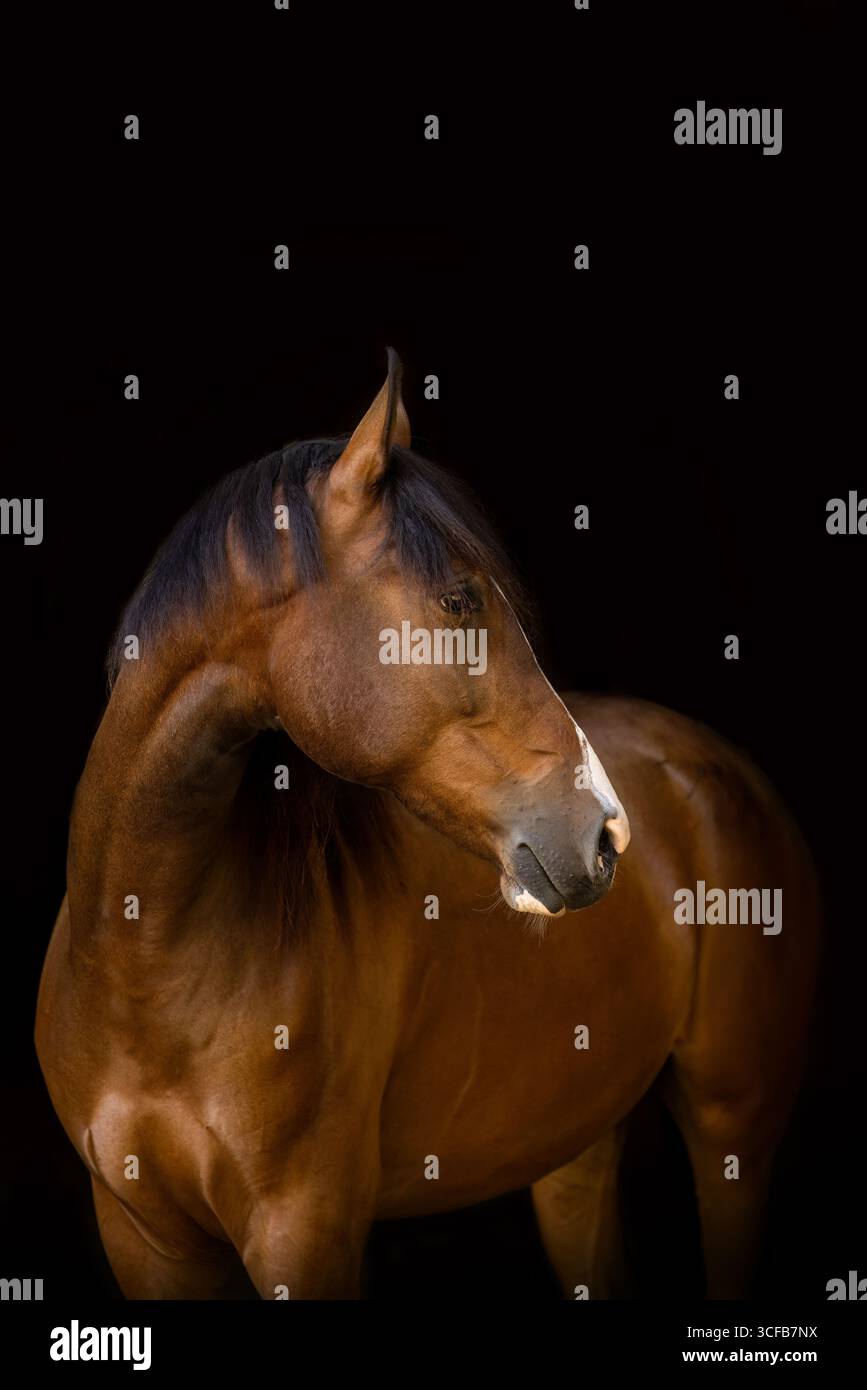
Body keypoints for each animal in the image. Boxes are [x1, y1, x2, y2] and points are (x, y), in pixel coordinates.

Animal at [35, 351, 820, 1299]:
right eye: (456, 598)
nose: (606, 834)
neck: (148, 965)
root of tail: (715, 770)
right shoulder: (146, 1240)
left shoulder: (304, 1234)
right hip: (574, 1155)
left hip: (731, 1134)